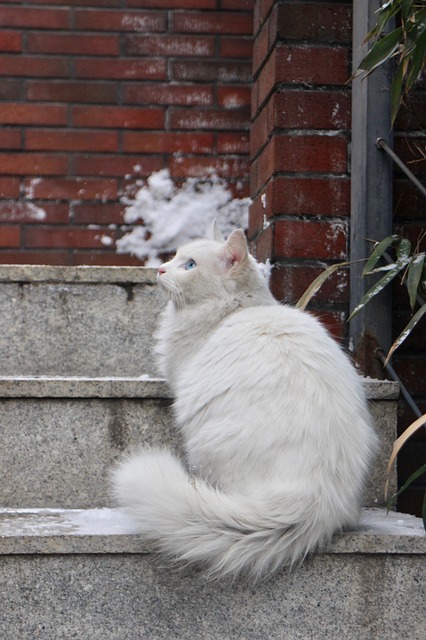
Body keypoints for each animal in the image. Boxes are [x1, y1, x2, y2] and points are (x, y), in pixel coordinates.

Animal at [112, 225, 376, 580]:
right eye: (175, 257)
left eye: (190, 265)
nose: (161, 270)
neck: (235, 311)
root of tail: (319, 495)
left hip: (207, 443)